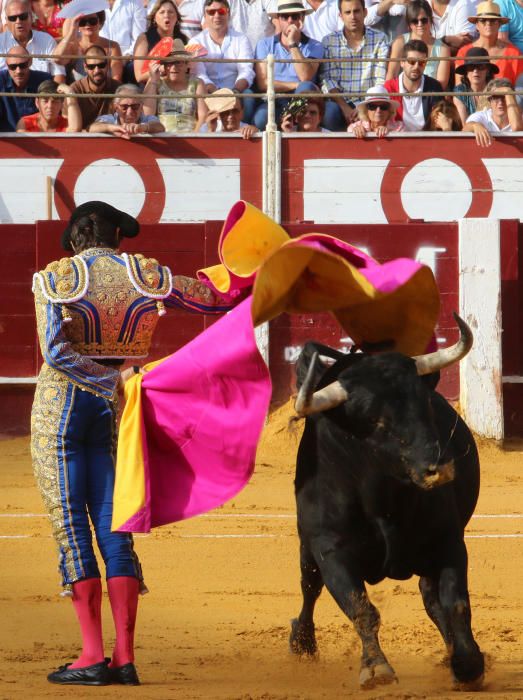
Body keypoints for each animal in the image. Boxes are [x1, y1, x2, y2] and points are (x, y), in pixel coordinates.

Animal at [288, 334, 486, 688]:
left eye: (425, 404)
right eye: (375, 420)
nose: (438, 468)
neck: (381, 496)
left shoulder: (448, 541)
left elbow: (456, 603)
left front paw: (468, 664)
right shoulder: (331, 551)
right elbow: (360, 607)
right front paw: (376, 667)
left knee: (431, 597)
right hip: (307, 548)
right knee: (309, 585)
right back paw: (302, 642)